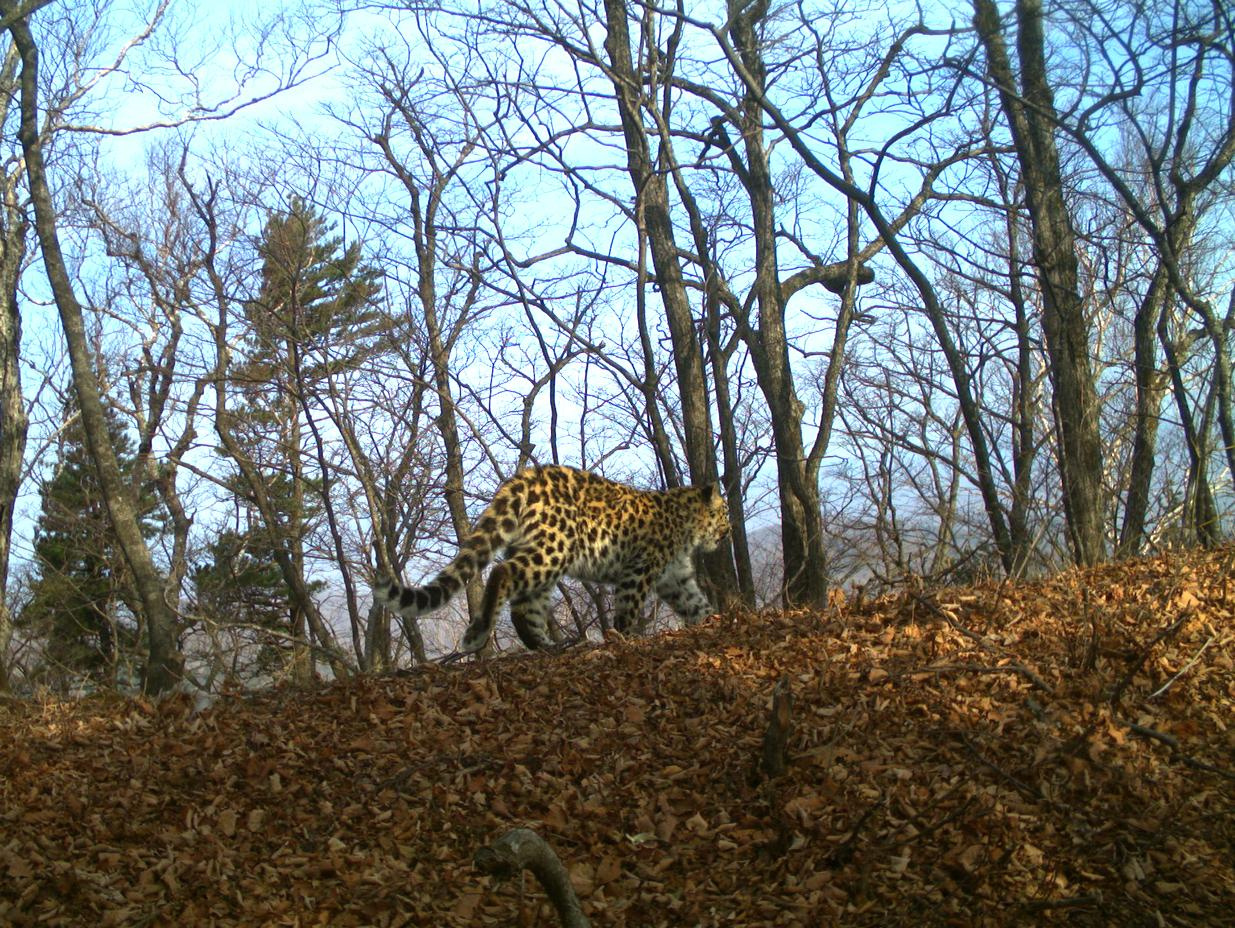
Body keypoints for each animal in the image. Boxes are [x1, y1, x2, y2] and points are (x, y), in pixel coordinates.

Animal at [370, 464, 726, 652]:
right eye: (723, 512)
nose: (729, 529)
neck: (687, 525)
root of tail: (525, 476)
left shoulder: (676, 578)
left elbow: (696, 604)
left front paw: (715, 621)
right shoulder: (639, 571)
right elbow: (628, 610)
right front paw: (623, 637)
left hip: (539, 555)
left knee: (523, 608)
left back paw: (547, 645)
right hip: (555, 550)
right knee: (502, 574)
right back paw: (481, 632)